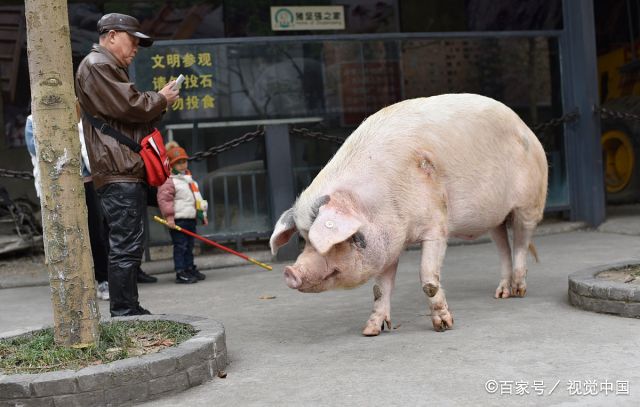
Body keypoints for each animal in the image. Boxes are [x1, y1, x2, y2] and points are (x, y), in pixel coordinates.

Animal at [268, 94, 548, 336]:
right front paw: (370, 331)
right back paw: (501, 294)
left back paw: (519, 291)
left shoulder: (437, 226)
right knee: (502, 247)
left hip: (529, 204)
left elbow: (428, 279)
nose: (290, 272)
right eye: (303, 239)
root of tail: (527, 128)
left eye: (332, 241)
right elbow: (380, 288)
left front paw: (444, 326)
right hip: (495, 219)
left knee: (521, 243)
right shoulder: (389, 242)